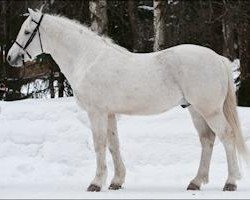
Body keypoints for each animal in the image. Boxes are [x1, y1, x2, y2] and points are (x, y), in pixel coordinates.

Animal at [7, 9, 248, 192]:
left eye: (27, 31)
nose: (10, 57)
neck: (87, 59)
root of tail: (218, 59)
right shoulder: (110, 113)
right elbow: (114, 145)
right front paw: (116, 181)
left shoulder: (97, 112)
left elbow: (99, 144)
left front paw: (96, 183)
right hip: (195, 110)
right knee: (207, 140)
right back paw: (196, 182)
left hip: (210, 111)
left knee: (227, 136)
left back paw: (230, 182)